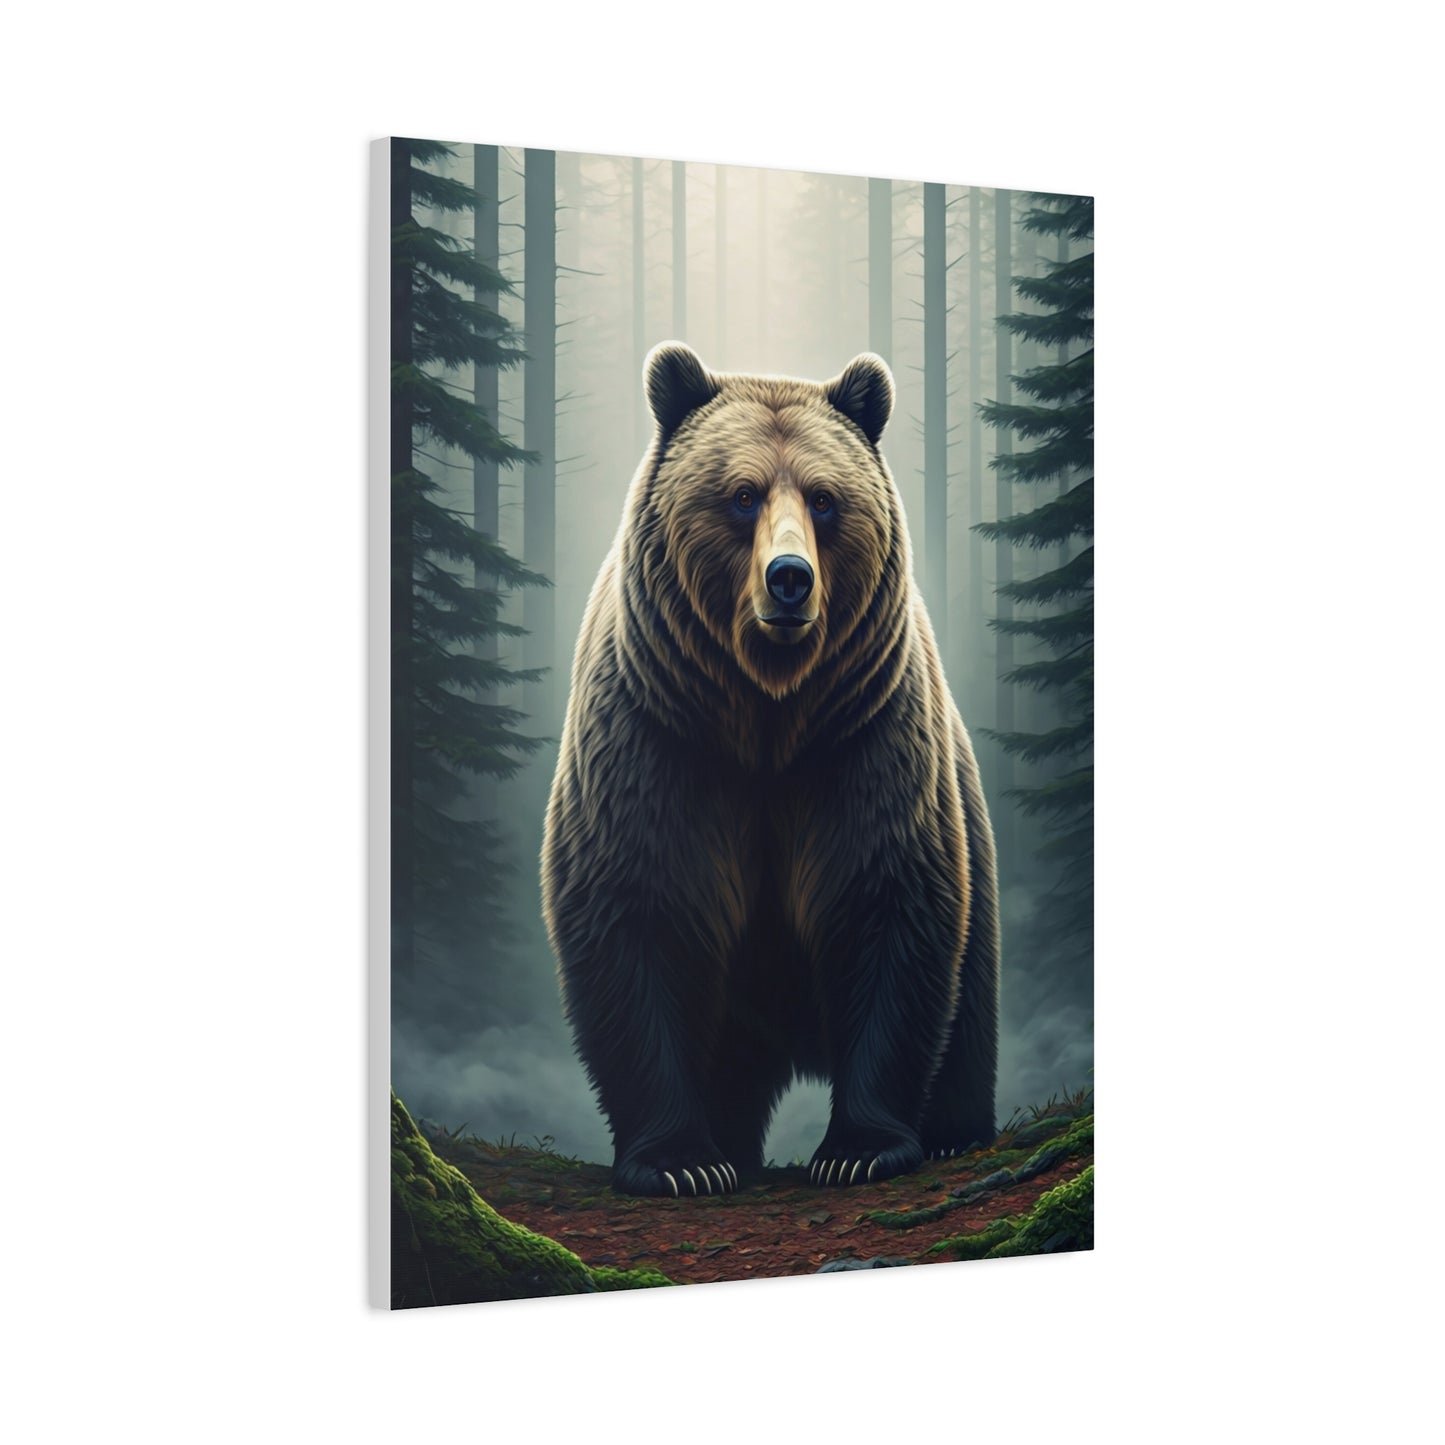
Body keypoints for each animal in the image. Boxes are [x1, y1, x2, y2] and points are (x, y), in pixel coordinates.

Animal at [541, 342, 999, 1197]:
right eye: (742, 495)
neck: (767, 718)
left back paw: (955, 1132)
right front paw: (681, 1162)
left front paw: (858, 1147)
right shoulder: (658, 742)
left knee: (969, 998)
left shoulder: (862, 743)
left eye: (823, 499)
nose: (789, 578)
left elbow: (889, 905)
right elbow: (638, 912)